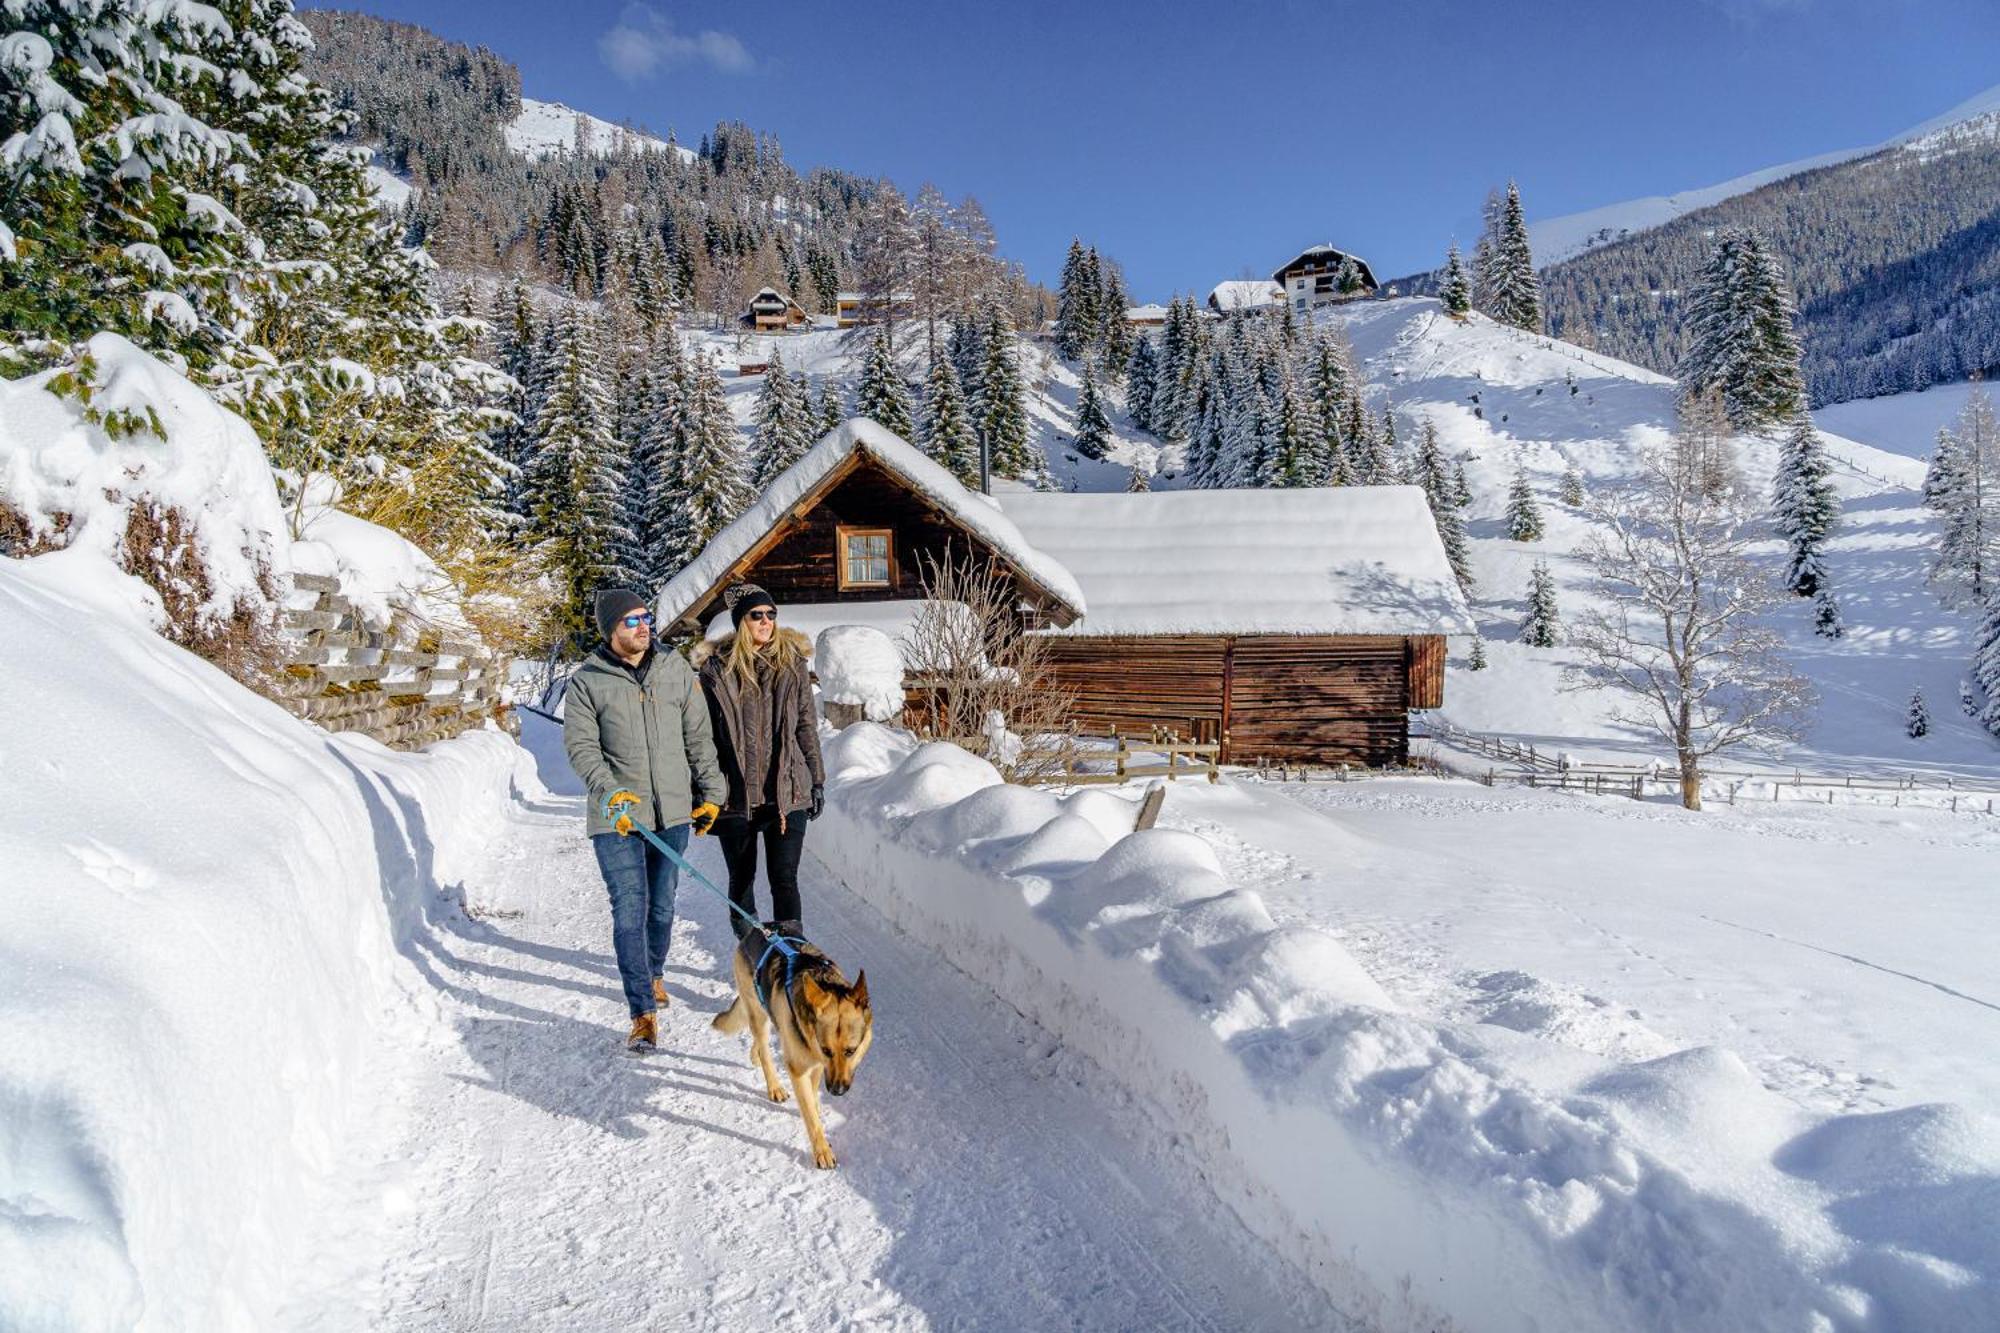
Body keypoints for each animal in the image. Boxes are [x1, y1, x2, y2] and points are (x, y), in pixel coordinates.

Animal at [720, 924, 876, 1160]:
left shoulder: (817, 1063)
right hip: (758, 1014)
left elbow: (812, 1093)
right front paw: (822, 1150)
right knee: (765, 1048)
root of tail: (754, 931)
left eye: (851, 1051)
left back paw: (755, 1055)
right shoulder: (800, 1068)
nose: (837, 1091)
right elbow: (810, 1115)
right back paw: (774, 1085)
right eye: (827, 1050)